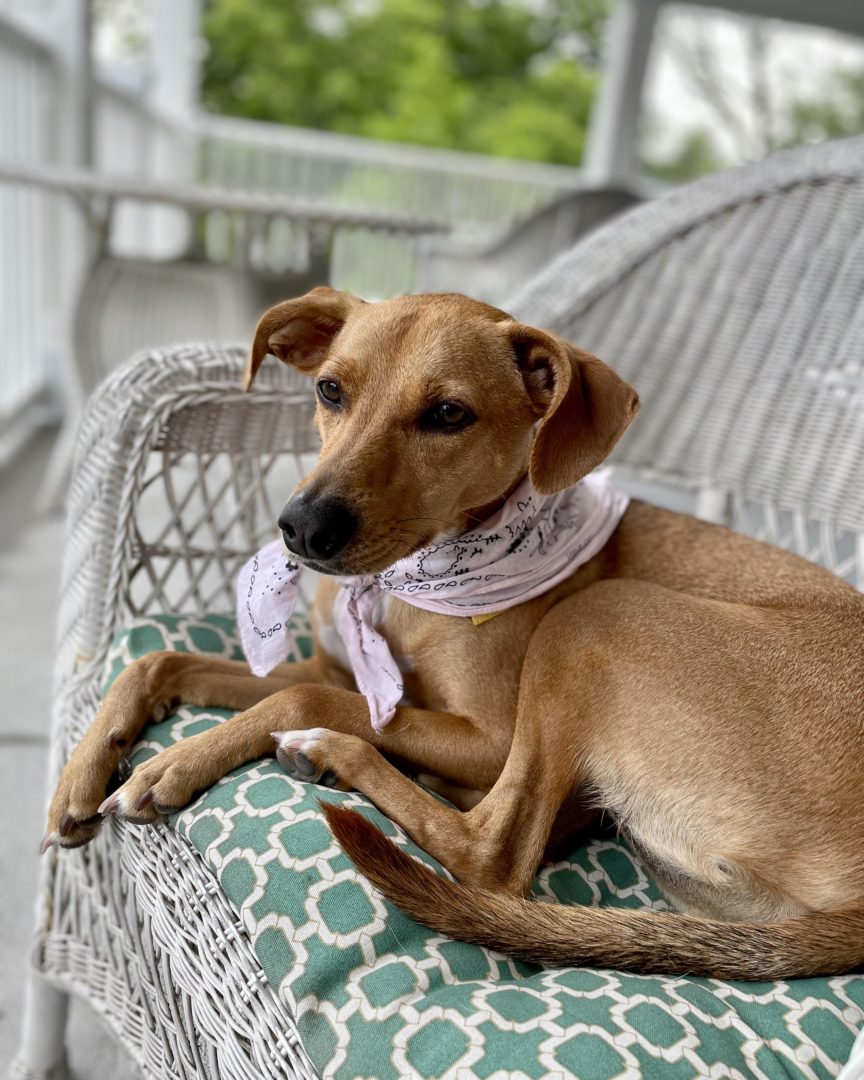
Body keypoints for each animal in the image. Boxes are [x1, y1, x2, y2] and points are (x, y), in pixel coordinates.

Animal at [43, 291, 864, 984]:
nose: (302, 528)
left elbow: (298, 701)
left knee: (492, 855)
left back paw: (338, 756)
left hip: (599, 616)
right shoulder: (331, 668)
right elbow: (160, 660)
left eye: (446, 414)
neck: (406, 584)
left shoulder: (488, 737)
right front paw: (81, 774)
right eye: (330, 391)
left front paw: (171, 765)